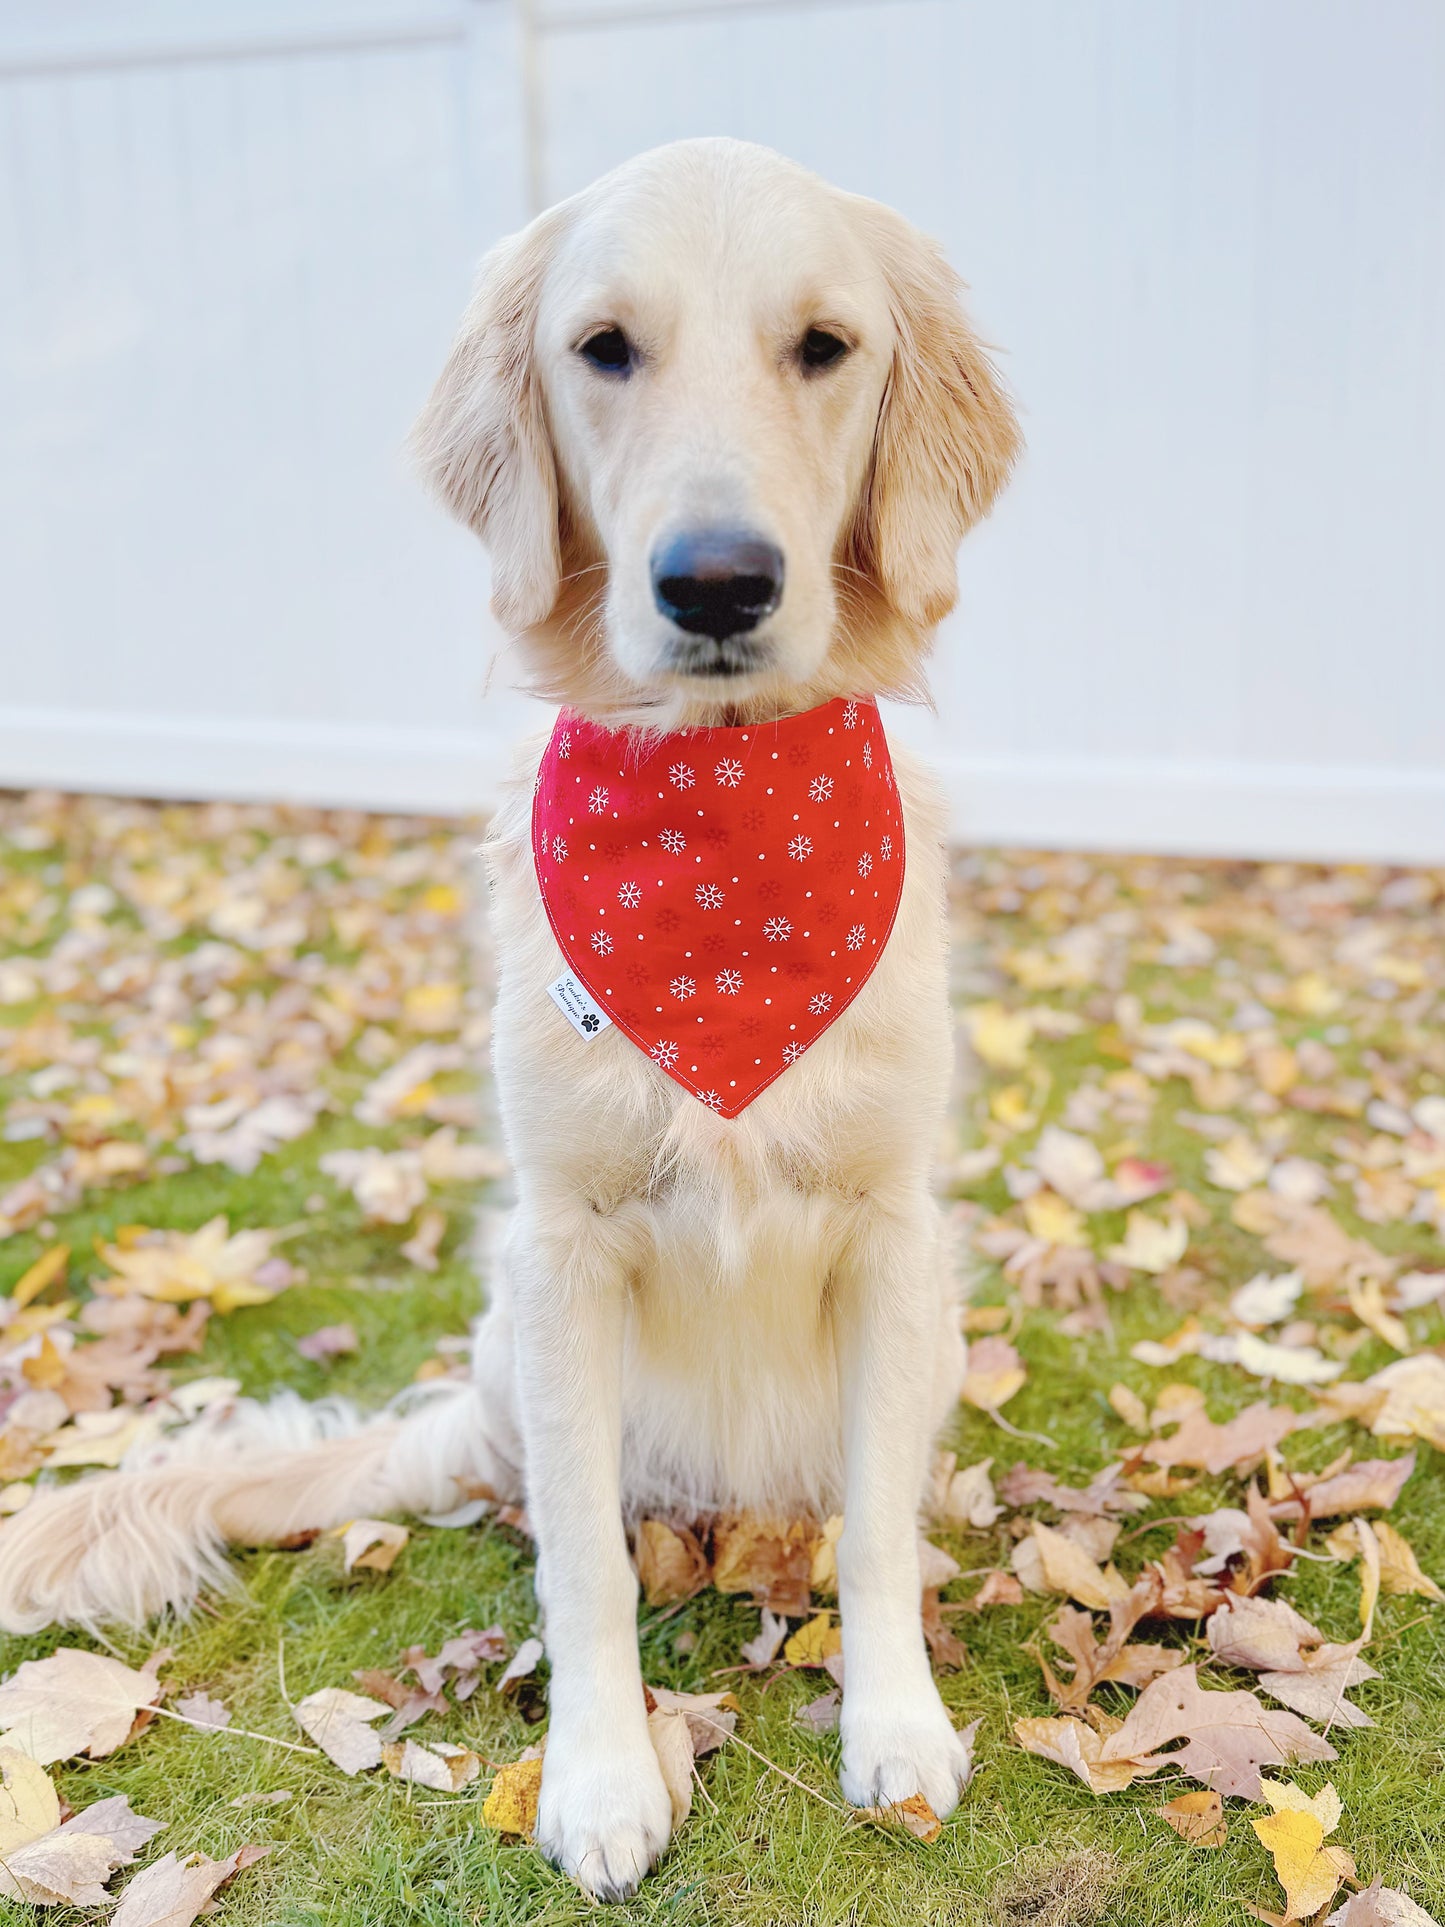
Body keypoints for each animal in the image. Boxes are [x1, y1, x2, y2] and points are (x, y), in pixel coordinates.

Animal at [0, 142, 1017, 1903]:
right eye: (604, 348)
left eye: (824, 346)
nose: (718, 580)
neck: (721, 836)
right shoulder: (560, 1251)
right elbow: (586, 1575)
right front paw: (602, 1778)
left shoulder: (896, 1234)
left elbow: (881, 1530)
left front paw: (894, 1726)